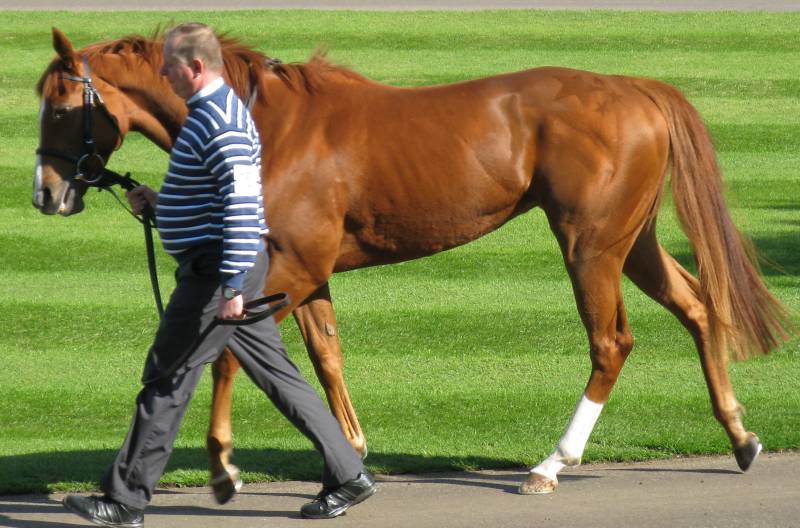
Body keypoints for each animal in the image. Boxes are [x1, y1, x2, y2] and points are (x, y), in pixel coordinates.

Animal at [34, 27, 792, 499]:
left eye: (63, 106)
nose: (45, 193)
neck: (264, 124)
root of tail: (635, 87)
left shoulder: (291, 267)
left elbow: (226, 355)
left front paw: (225, 466)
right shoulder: (307, 274)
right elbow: (324, 356)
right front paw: (347, 455)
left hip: (589, 245)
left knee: (612, 342)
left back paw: (553, 462)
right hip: (629, 240)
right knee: (697, 304)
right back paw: (740, 434)